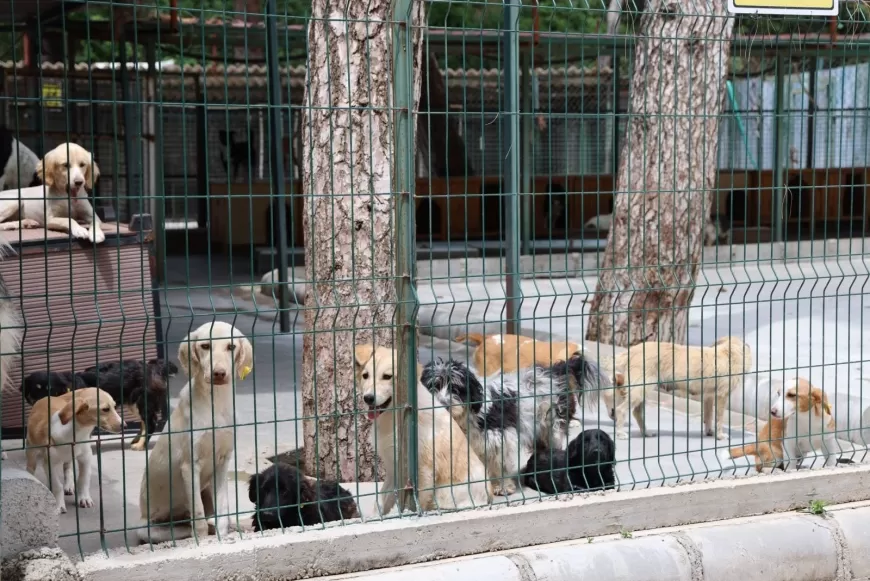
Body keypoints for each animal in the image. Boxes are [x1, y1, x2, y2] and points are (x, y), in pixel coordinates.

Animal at [26, 388, 124, 516]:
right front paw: (59, 505)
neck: (77, 433)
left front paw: (84, 498)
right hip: (31, 449)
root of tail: (47, 397)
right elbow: (57, 485)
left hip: (68, 458)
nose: (125, 425)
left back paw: (68, 485)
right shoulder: (49, 463)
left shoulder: (86, 458)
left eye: (114, 406)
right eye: (105, 409)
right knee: (31, 467)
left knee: (68, 468)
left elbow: (83, 480)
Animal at [354, 342, 490, 516]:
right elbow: (381, 501)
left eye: (387, 377)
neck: (394, 417)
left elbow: (419, 501)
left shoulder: (424, 469)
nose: (368, 398)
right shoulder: (393, 468)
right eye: (366, 375)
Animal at [420, 354, 608, 494]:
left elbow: (501, 465)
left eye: (456, 388)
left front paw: (503, 487)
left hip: (552, 426)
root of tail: (553, 371)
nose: (442, 403)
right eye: (433, 387)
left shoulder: (501, 439)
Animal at [608, 336, 752, 440]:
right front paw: (720, 435)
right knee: (621, 410)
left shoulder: (708, 397)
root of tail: (631, 351)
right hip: (641, 389)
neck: (728, 352)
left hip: (642, 389)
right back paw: (620, 433)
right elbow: (719, 417)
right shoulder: (722, 396)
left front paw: (709, 431)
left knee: (637, 412)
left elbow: (708, 415)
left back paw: (646, 433)